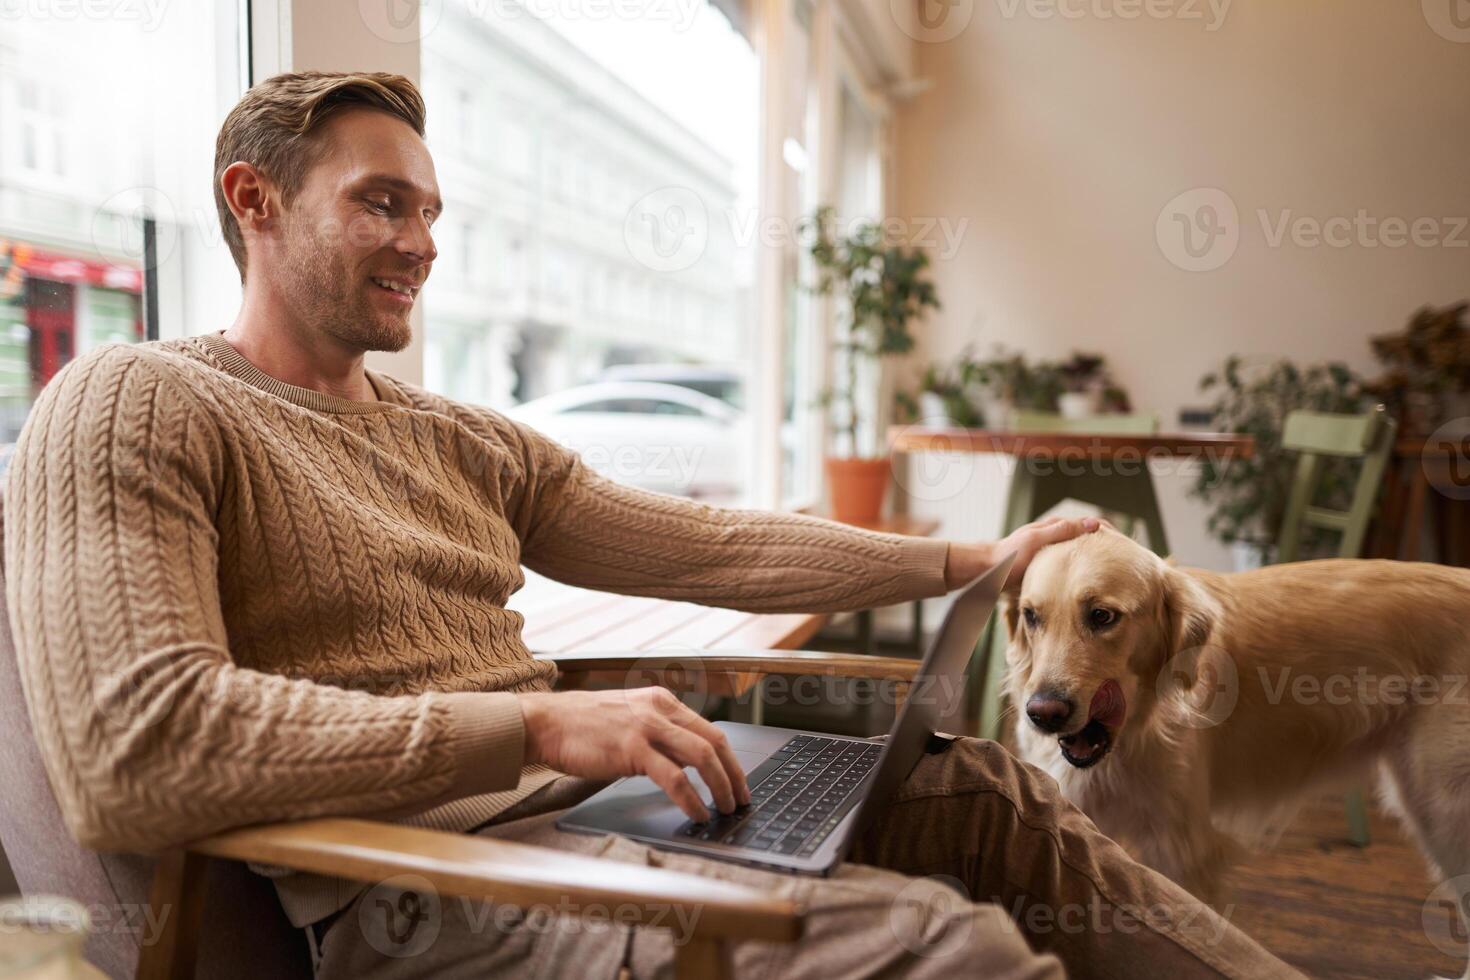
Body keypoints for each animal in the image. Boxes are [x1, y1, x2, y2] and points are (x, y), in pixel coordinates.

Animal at [999, 528, 1470, 975]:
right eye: (1031, 616)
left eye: (1102, 616)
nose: (1043, 713)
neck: (1138, 731)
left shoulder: (1181, 851)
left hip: (1444, 809)